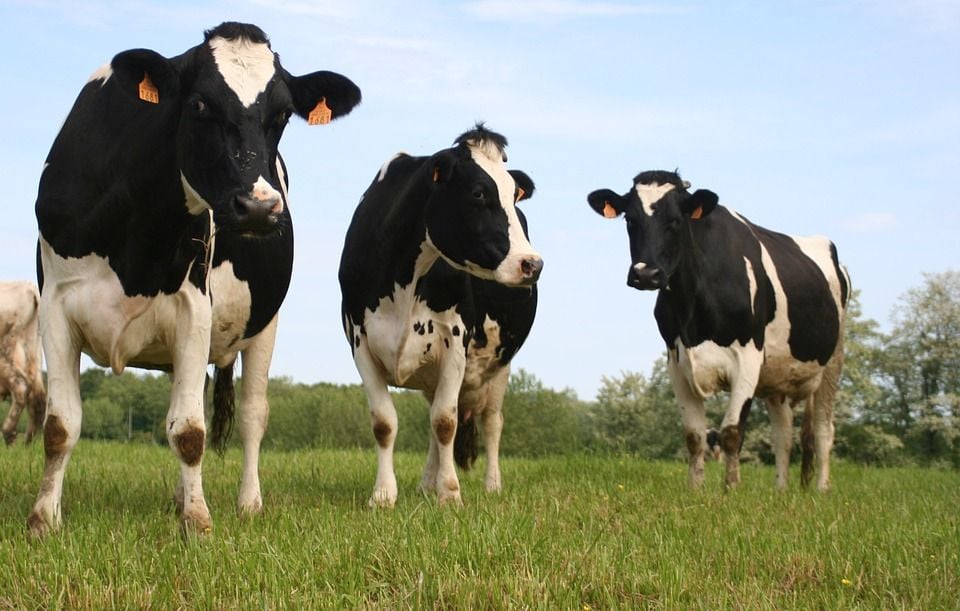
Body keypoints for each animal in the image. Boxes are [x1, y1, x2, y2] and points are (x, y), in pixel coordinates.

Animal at [0, 281, 46, 445]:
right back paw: (27, 443)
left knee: (20, 386)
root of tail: (29, 288)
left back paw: (9, 434)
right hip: (34, 347)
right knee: (38, 396)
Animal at [29, 22, 360, 536]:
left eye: (283, 113)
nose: (260, 207)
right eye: (200, 103)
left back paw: (248, 503)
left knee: (251, 415)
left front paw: (198, 521)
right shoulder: (55, 307)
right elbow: (60, 425)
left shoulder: (194, 307)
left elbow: (189, 431)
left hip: (265, 324)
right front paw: (45, 519)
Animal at [339, 125, 542, 507]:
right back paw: (425, 484)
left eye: (514, 194)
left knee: (491, 422)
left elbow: (446, 422)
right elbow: (385, 423)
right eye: (478, 192)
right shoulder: (360, 341)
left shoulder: (455, 342)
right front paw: (384, 495)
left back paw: (491, 485)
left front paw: (450, 495)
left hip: (500, 365)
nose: (532, 264)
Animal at [588, 170, 849, 491]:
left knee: (824, 429)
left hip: (833, 361)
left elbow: (731, 432)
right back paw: (781, 491)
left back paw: (822, 489)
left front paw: (731, 489)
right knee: (783, 434)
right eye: (629, 219)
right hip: (778, 376)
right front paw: (695, 489)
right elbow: (694, 435)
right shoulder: (676, 362)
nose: (645, 274)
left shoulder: (748, 358)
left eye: (676, 220)